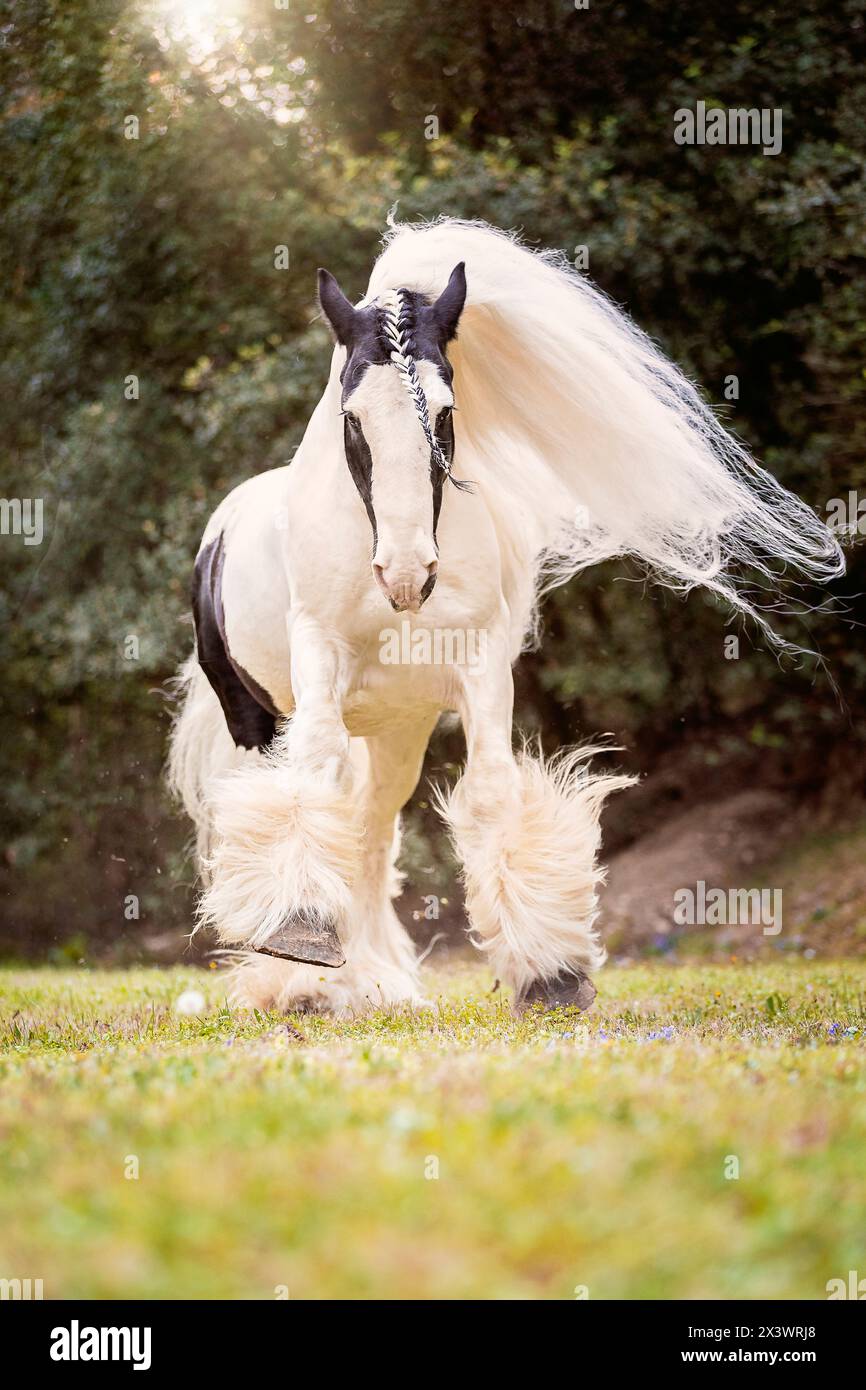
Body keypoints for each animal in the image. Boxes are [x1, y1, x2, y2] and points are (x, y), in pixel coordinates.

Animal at [168, 217, 843, 1015]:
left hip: (399, 731)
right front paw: (301, 937)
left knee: (370, 832)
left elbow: (491, 790)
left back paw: (370, 982)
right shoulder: (318, 655)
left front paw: (549, 972)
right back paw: (307, 981)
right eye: (352, 418)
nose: (406, 575)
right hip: (252, 715)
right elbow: (312, 771)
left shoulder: (480, 665)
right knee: (275, 799)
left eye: (446, 411)